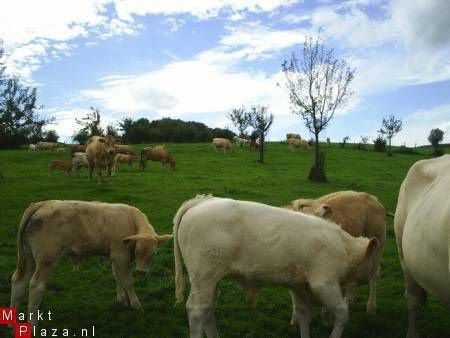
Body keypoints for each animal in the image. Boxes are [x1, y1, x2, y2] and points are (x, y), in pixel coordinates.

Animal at [11, 199, 172, 326]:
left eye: (153, 253)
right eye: (138, 251)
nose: (141, 271)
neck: (131, 221)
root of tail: (42, 204)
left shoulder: (115, 256)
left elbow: (117, 277)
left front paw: (121, 300)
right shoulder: (120, 255)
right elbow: (127, 281)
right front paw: (135, 304)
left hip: (28, 257)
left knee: (18, 283)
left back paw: (12, 324)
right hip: (47, 259)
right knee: (36, 286)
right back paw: (33, 325)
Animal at [174, 195, 378, 338]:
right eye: (372, 262)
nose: (375, 273)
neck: (343, 246)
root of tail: (200, 202)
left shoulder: (299, 286)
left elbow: (304, 316)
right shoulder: (324, 283)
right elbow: (343, 313)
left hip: (210, 281)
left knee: (208, 309)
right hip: (204, 277)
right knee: (196, 311)